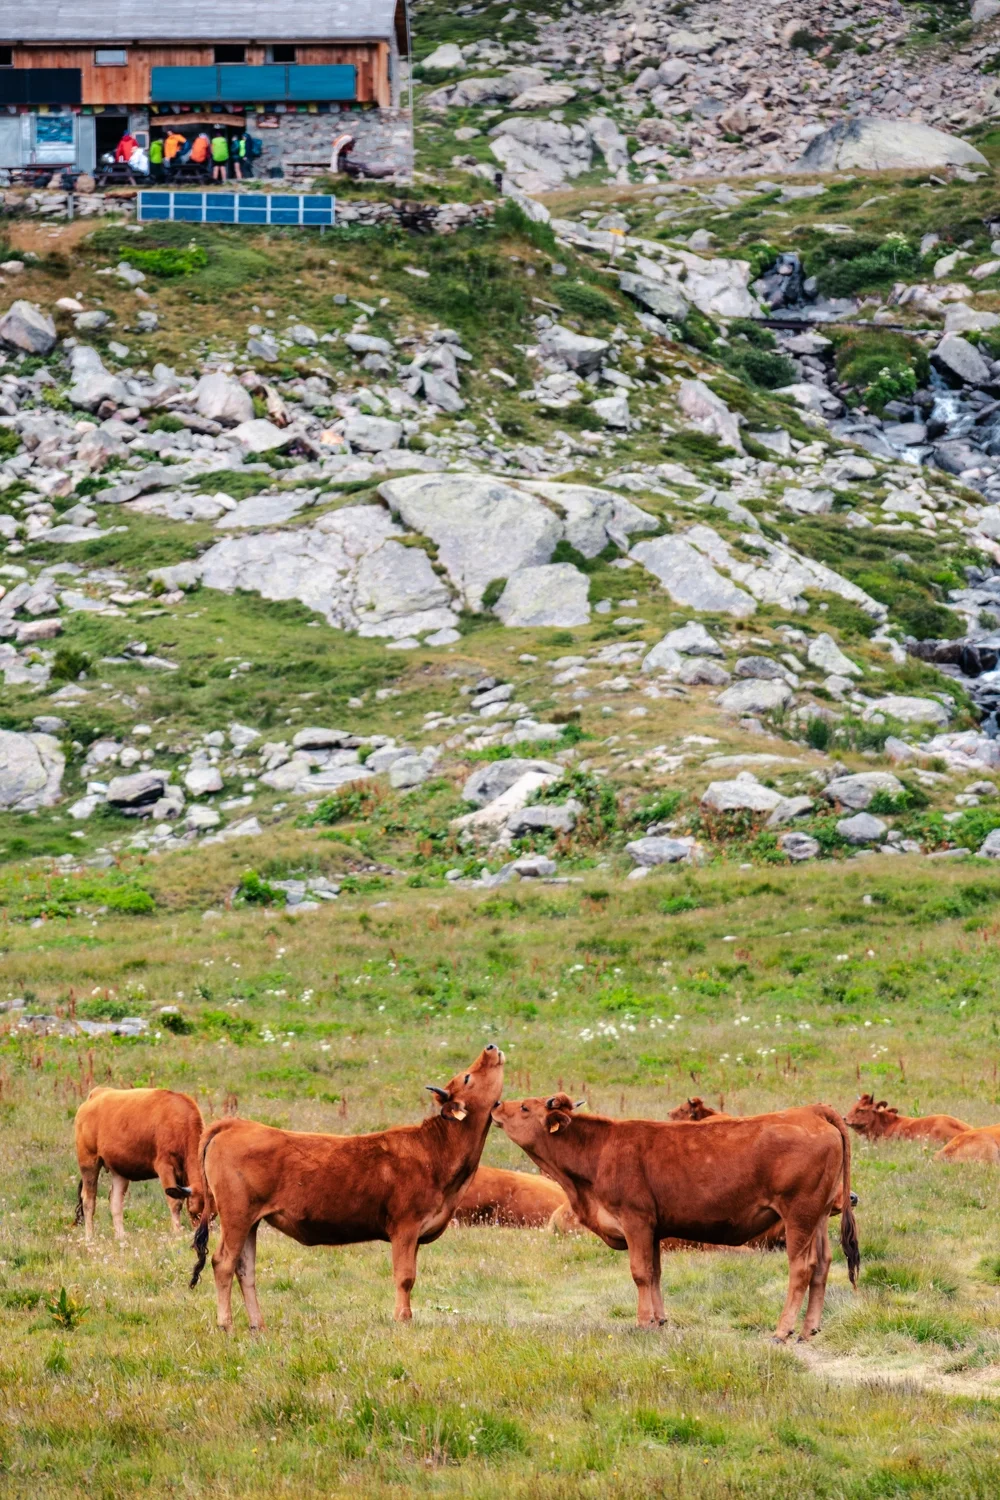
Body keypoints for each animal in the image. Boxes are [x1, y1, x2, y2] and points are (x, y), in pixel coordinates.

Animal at [73, 1086, 205, 1242]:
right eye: (193, 1211)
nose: (201, 1235)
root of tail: (97, 1093)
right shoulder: (165, 1168)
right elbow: (175, 1203)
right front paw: (177, 1233)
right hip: (88, 1162)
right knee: (89, 1199)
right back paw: (89, 1237)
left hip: (119, 1171)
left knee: (115, 1201)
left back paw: (121, 1237)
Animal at [175, 1045, 504, 1331]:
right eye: (467, 1076)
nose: (490, 1047)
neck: (437, 1150)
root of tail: (237, 1124)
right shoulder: (405, 1227)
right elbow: (405, 1277)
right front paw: (402, 1319)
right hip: (236, 1214)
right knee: (223, 1262)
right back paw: (226, 1324)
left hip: (250, 1220)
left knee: (245, 1268)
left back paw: (258, 1325)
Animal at [492, 1094, 859, 1340]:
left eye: (525, 1107)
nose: (496, 1104)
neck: (600, 1152)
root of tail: (810, 1111)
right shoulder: (654, 1229)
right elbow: (654, 1273)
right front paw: (659, 1321)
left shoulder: (636, 1220)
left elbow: (640, 1273)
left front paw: (642, 1323)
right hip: (818, 1217)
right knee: (823, 1265)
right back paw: (809, 1329)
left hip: (799, 1216)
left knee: (802, 1268)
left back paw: (782, 1331)